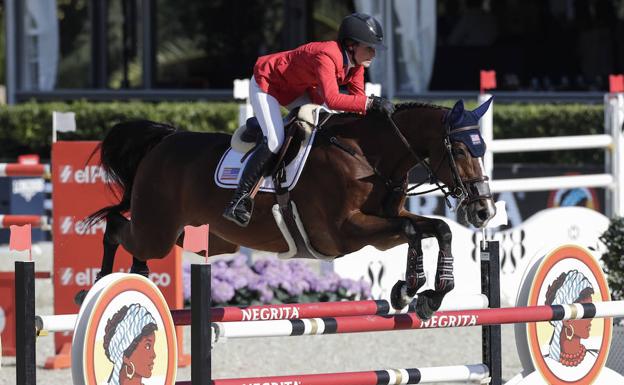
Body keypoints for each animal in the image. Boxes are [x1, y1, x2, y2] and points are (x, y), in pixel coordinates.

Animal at [84, 98, 498, 318]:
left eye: (482, 149)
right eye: (460, 149)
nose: (484, 212)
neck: (368, 157)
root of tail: (165, 139)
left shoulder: (383, 227)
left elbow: (435, 229)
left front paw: (423, 293)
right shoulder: (345, 232)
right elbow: (416, 230)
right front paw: (413, 288)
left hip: (202, 236)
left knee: (134, 238)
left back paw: (138, 276)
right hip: (158, 229)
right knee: (117, 227)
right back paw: (99, 285)